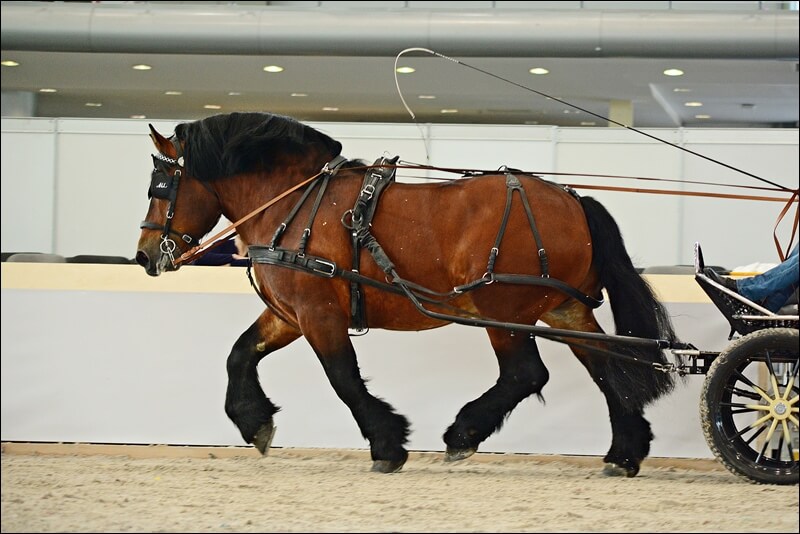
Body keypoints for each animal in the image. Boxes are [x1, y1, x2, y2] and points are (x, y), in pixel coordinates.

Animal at [134, 112, 680, 478]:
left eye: (161, 186)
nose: (143, 256)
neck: (295, 204)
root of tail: (573, 200)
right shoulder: (289, 315)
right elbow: (240, 354)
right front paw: (254, 423)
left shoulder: (318, 312)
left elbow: (344, 379)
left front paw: (388, 445)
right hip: (563, 308)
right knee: (607, 365)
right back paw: (626, 452)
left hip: (503, 310)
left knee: (527, 373)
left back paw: (463, 434)